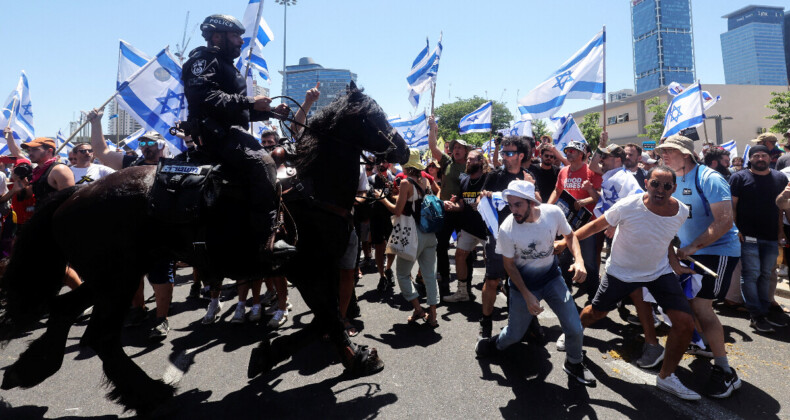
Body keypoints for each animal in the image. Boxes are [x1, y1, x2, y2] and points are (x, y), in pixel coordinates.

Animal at [0, 82, 408, 414]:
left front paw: (343, 357)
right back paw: (148, 393)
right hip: (117, 279)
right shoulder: (304, 268)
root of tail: (76, 191)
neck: (312, 188)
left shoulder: (321, 267)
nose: (402, 149)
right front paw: (281, 356)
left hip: (111, 276)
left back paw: (31, 368)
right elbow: (329, 318)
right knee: (100, 335)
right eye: (372, 115)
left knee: (67, 311)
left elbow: (330, 317)